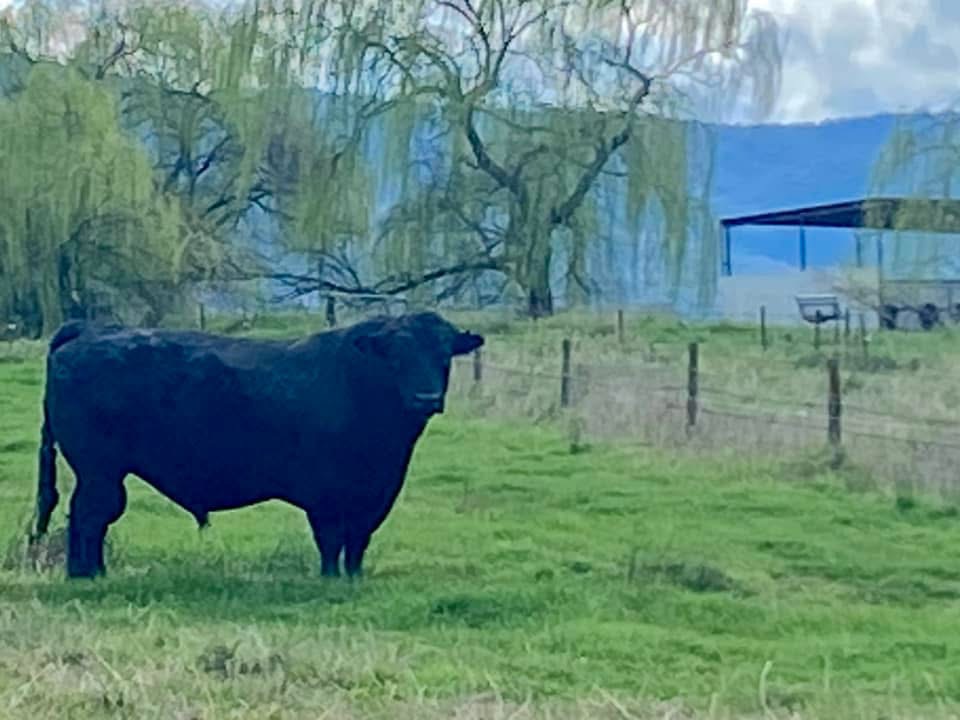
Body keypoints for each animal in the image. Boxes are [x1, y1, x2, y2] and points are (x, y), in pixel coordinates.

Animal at [29, 311, 484, 579]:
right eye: (396, 355)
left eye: (444, 354)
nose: (426, 398)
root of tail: (91, 329)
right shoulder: (326, 494)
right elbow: (331, 539)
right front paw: (330, 580)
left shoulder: (374, 495)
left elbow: (357, 541)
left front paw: (352, 579)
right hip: (100, 470)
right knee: (90, 514)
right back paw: (87, 575)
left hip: (100, 472)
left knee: (91, 515)